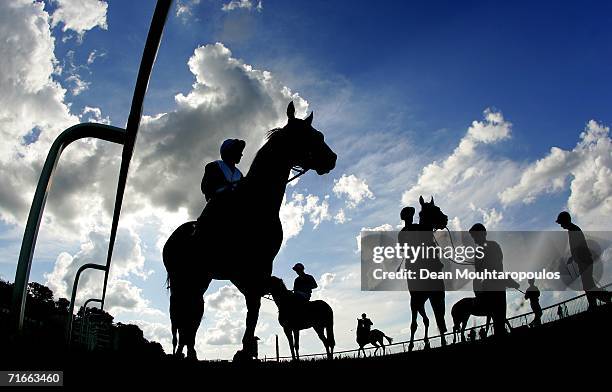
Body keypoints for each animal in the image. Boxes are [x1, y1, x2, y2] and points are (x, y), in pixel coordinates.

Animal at [163, 102, 338, 360]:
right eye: (308, 136)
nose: (331, 159)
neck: (256, 205)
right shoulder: (245, 270)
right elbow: (252, 305)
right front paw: (244, 351)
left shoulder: (260, 268)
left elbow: (253, 309)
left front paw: (245, 349)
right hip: (182, 279)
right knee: (182, 314)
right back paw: (182, 351)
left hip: (199, 279)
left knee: (192, 313)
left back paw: (189, 351)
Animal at [396, 196, 450, 352]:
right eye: (430, 211)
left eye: (437, 208)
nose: (445, 219)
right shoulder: (415, 300)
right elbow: (414, 324)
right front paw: (410, 346)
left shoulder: (438, 293)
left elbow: (440, 317)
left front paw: (443, 341)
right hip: (417, 301)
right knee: (422, 320)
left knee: (430, 319)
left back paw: (427, 342)